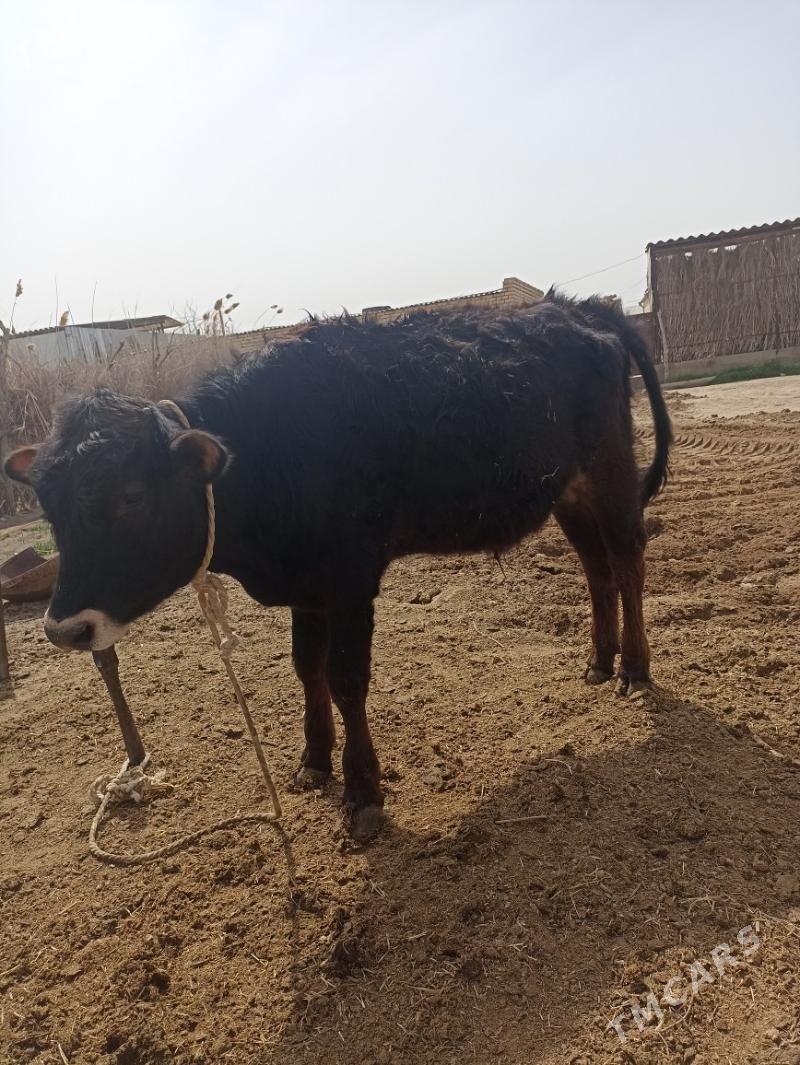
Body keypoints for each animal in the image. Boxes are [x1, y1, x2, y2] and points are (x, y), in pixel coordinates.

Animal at [5, 292, 672, 839]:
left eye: (130, 497)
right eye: (48, 504)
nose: (64, 628)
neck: (274, 449)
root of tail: (575, 307)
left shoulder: (351, 579)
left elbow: (347, 679)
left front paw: (362, 791)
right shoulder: (308, 586)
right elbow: (308, 671)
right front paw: (313, 762)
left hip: (610, 470)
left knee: (627, 561)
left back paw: (635, 670)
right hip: (568, 491)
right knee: (596, 567)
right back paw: (600, 660)